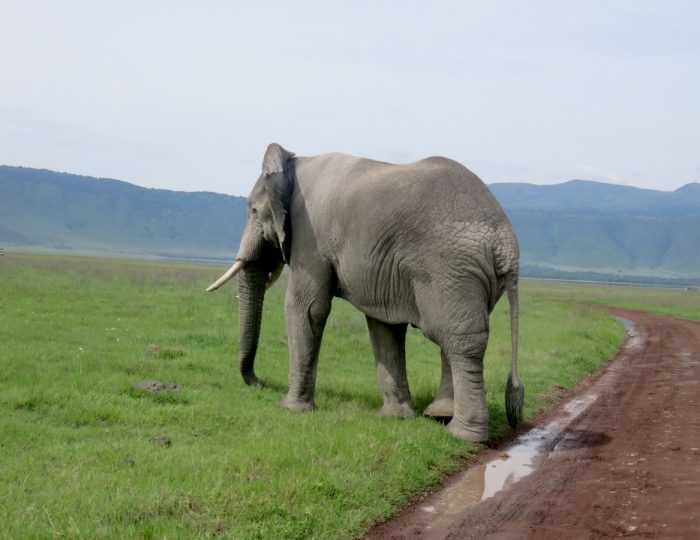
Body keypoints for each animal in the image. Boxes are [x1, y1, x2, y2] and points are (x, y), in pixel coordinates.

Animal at [208, 143, 524, 442]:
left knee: (458, 341)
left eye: (253, 211)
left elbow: (306, 308)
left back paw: (462, 434)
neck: (294, 164)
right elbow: (384, 325)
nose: (259, 383)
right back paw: (440, 416)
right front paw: (396, 418)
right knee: (452, 335)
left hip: (450, 268)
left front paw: (290, 408)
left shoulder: (310, 236)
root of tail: (504, 242)